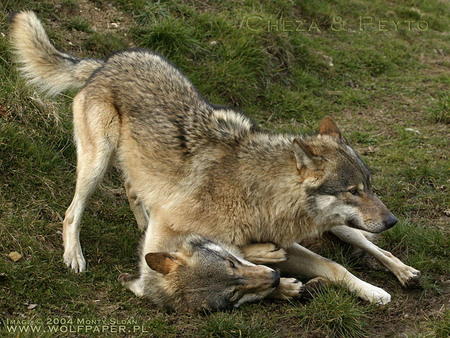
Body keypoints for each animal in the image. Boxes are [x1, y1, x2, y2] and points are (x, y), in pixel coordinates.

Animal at [9, 10, 418, 306]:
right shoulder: (173, 229)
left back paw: (405, 272)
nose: (392, 220)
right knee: (73, 211)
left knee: (370, 245)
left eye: (369, 186)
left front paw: (372, 291)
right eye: (352, 191)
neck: (259, 195)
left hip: (341, 227)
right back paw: (74, 255)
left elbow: (335, 267)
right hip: (96, 163)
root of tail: (105, 61)